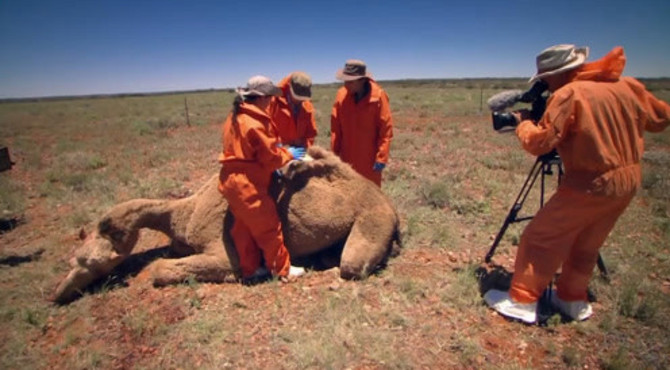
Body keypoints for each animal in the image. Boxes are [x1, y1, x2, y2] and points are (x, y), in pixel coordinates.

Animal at [53, 146, 400, 304]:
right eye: (74, 260)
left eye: (88, 263)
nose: (58, 294)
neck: (186, 213)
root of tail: (391, 208)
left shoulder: (225, 254)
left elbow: (161, 268)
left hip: (372, 220)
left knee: (352, 266)